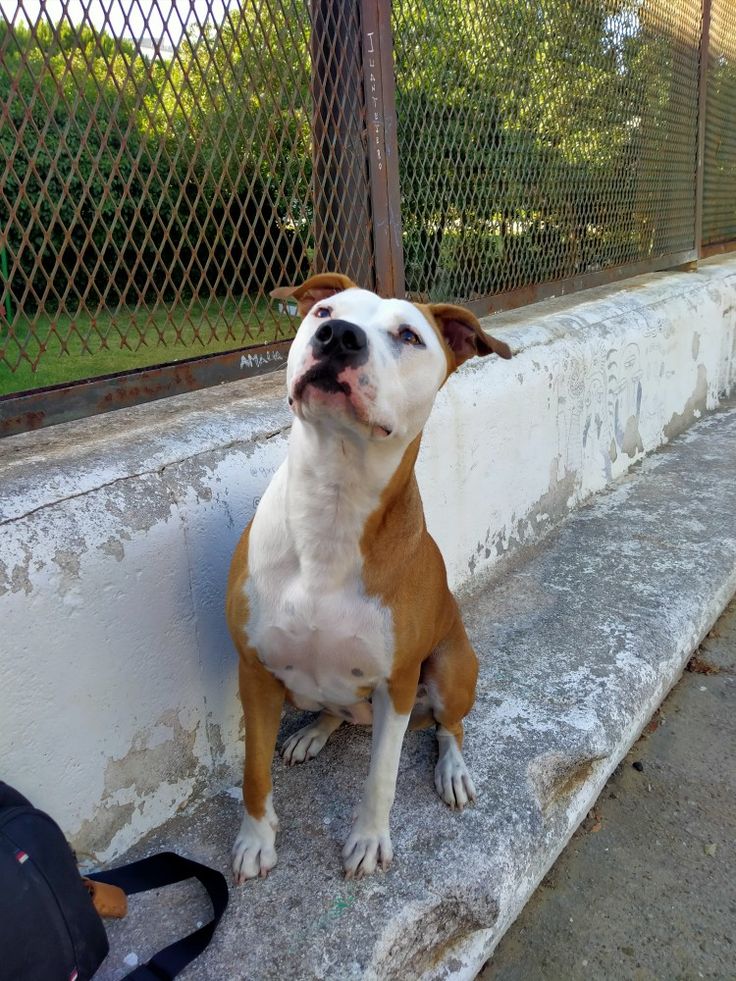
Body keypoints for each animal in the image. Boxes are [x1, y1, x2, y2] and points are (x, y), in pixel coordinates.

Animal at [226, 274, 512, 880]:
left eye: (408, 336)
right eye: (325, 312)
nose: (337, 336)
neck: (333, 502)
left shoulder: (396, 683)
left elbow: (381, 776)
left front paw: (368, 840)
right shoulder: (255, 671)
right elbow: (254, 771)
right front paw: (256, 840)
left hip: (449, 671)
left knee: (450, 726)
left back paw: (453, 770)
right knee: (336, 712)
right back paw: (313, 733)